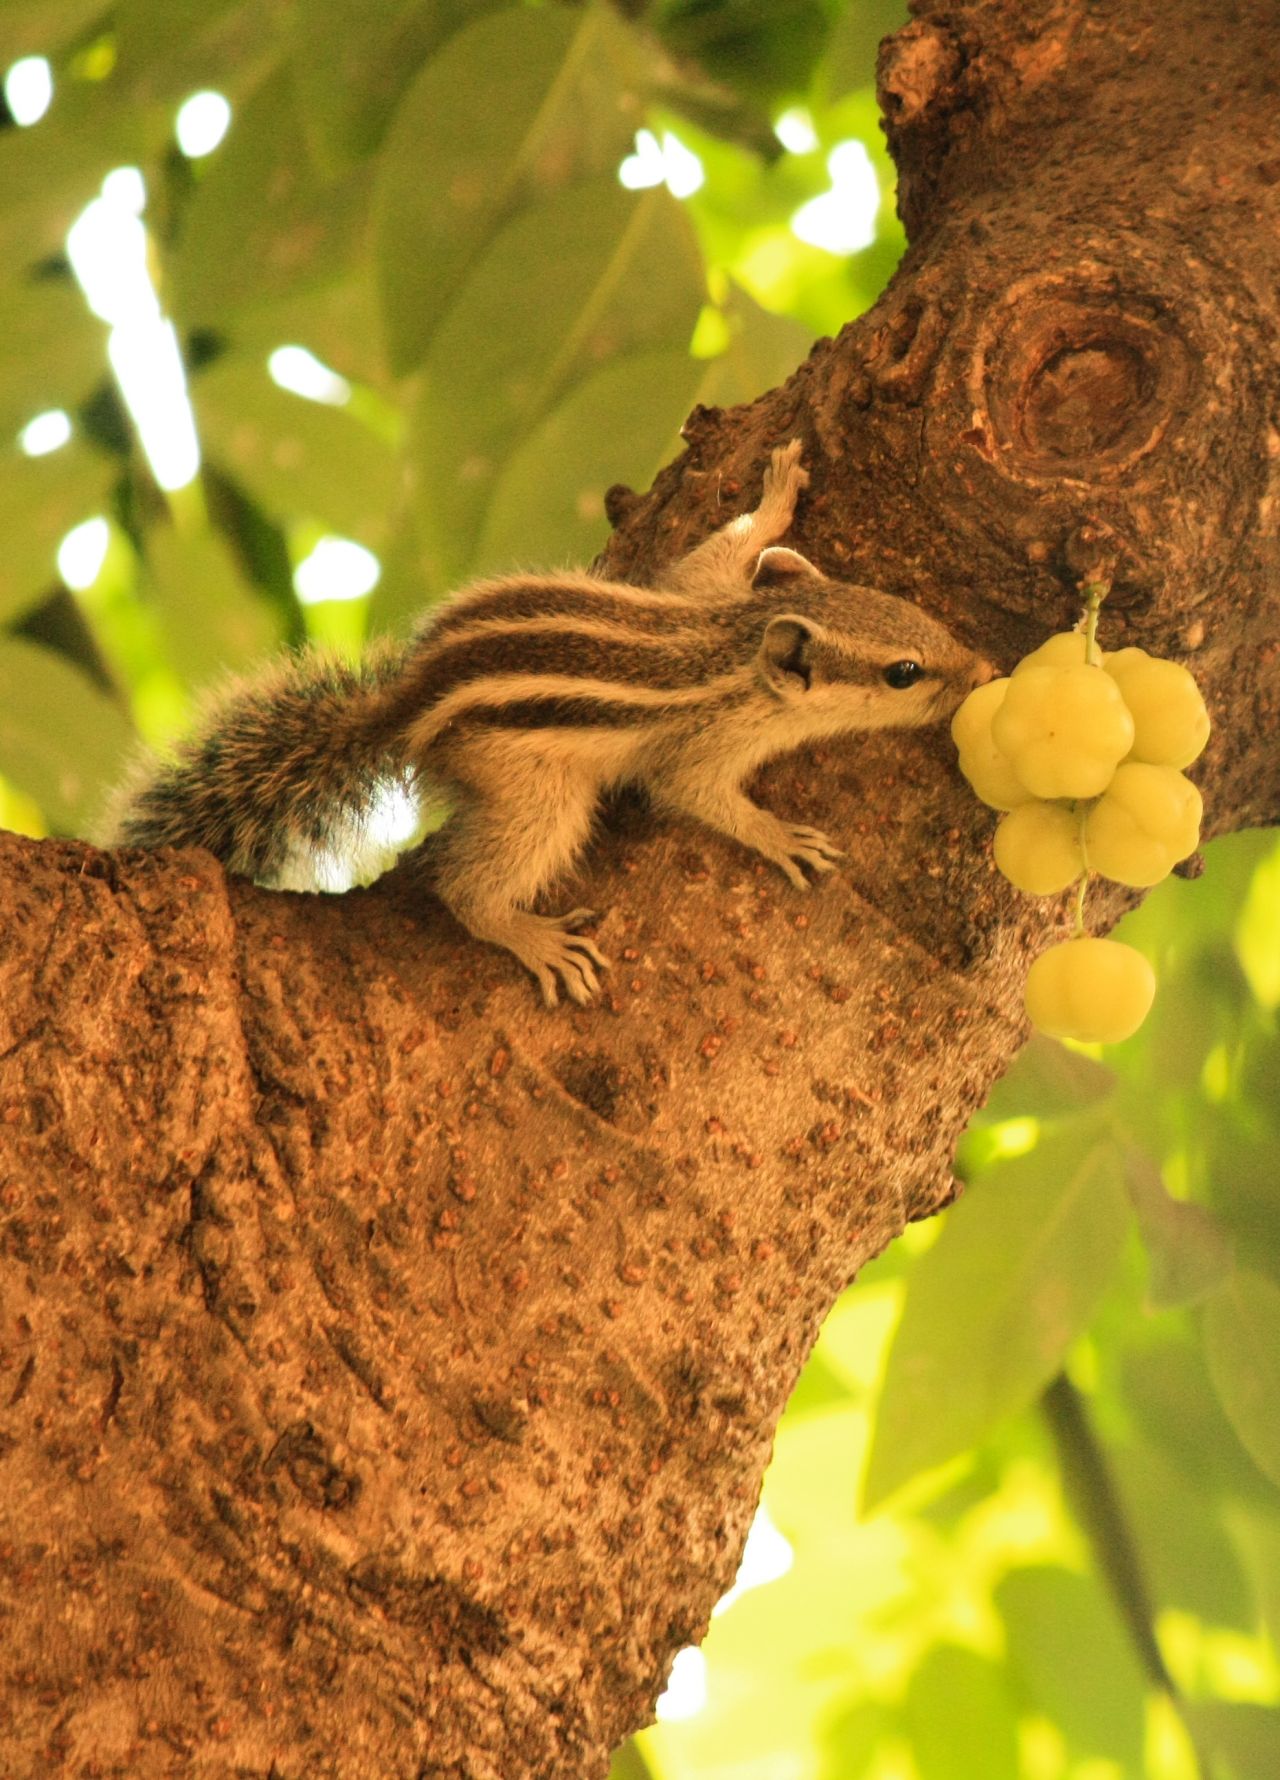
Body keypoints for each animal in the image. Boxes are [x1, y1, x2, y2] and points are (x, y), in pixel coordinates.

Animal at [112, 443, 989, 1003]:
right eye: (903, 672)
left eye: (914, 612)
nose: (982, 669)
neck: (738, 647)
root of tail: (403, 703)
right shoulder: (703, 741)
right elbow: (693, 795)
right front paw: (779, 837)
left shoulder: (703, 588)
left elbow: (719, 548)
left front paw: (773, 499)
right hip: (540, 794)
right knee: (466, 887)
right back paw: (530, 938)